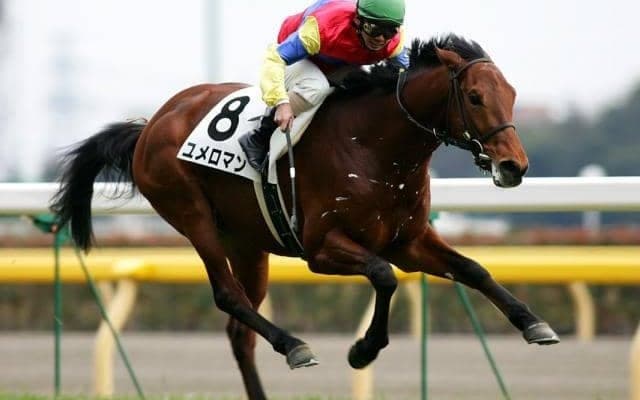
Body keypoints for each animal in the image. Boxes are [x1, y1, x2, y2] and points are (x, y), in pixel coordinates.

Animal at [51, 34, 559, 400]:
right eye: (474, 97)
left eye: (511, 94)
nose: (514, 166)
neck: (373, 146)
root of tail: (151, 124)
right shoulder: (321, 248)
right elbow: (383, 275)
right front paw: (363, 350)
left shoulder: (408, 241)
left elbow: (473, 269)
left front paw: (534, 323)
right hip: (190, 213)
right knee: (228, 296)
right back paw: (294, 345)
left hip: (246, 243)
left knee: (240, 330)